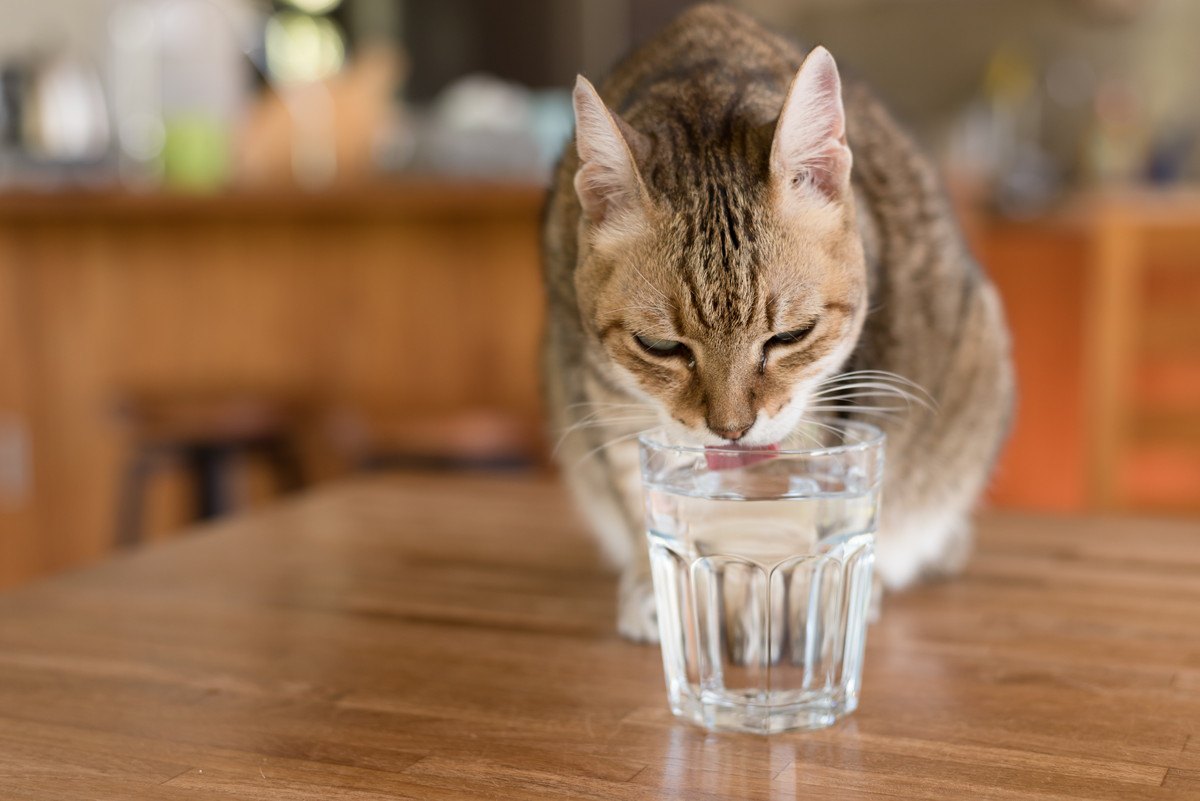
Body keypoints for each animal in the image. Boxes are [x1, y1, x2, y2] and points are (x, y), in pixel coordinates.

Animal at [544, 3, 1012, 642]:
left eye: (791, 335)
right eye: (660, 346)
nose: (732, 430)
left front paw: (784, 594)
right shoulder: (601, 393)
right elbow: (636, 489)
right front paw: (667, 588)